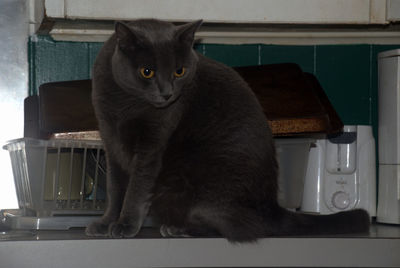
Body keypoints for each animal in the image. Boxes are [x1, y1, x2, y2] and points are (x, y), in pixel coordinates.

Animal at [86, 18, 370, 241]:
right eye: (147, 72)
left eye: (179, 71)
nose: (167, 94)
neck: (125, 105)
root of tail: (272, 207)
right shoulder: (111, 142)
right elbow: (115, 188)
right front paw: (106, 222)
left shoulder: (152, 146)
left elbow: (136, 188)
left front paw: (125, 225)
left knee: (235, 228)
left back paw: (179, 228)